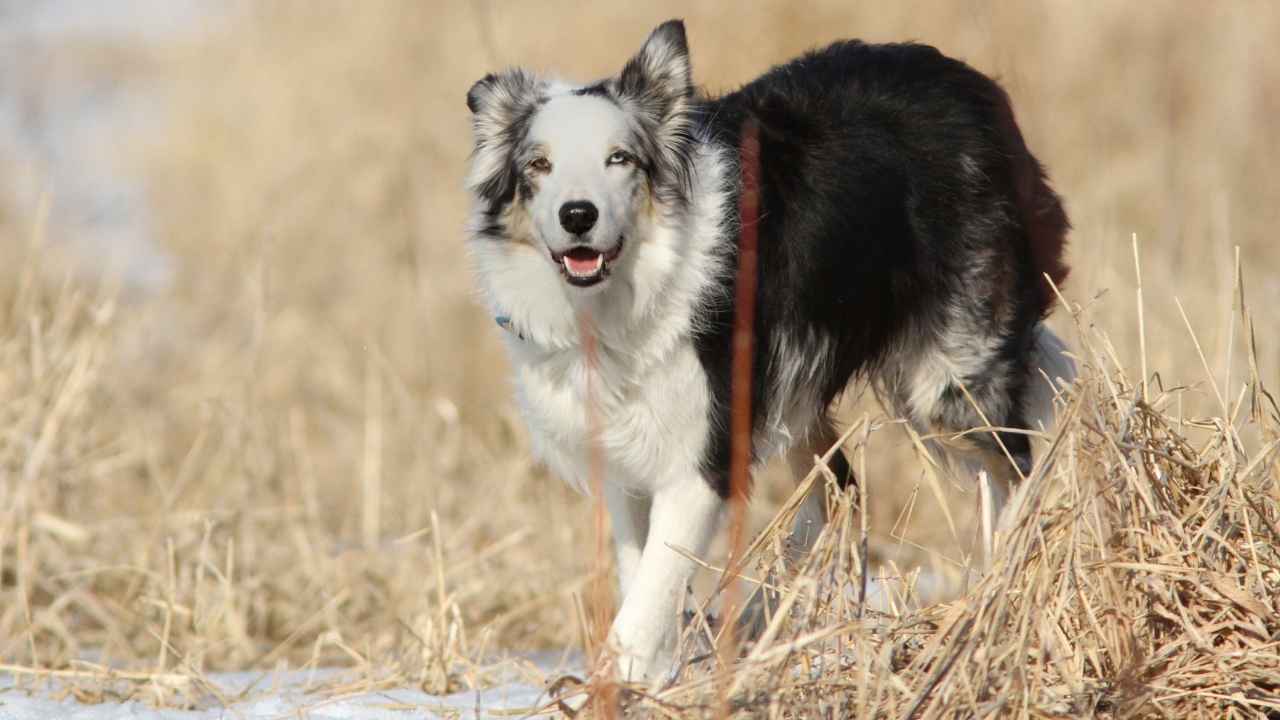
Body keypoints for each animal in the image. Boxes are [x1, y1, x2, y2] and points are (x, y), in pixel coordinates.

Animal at [465, 19, 1075, 681]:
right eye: (539, 164)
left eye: (619, 158)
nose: (578, 215)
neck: (622, 294)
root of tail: (973, 86)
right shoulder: (622, 458)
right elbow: (640, 576)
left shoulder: (701, 455)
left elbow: (647, 597)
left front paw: (623, 680)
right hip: (797, 387)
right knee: (839, 488)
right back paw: (766, 617)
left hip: (949, 382)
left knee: (1014, 468)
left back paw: (999, 595)